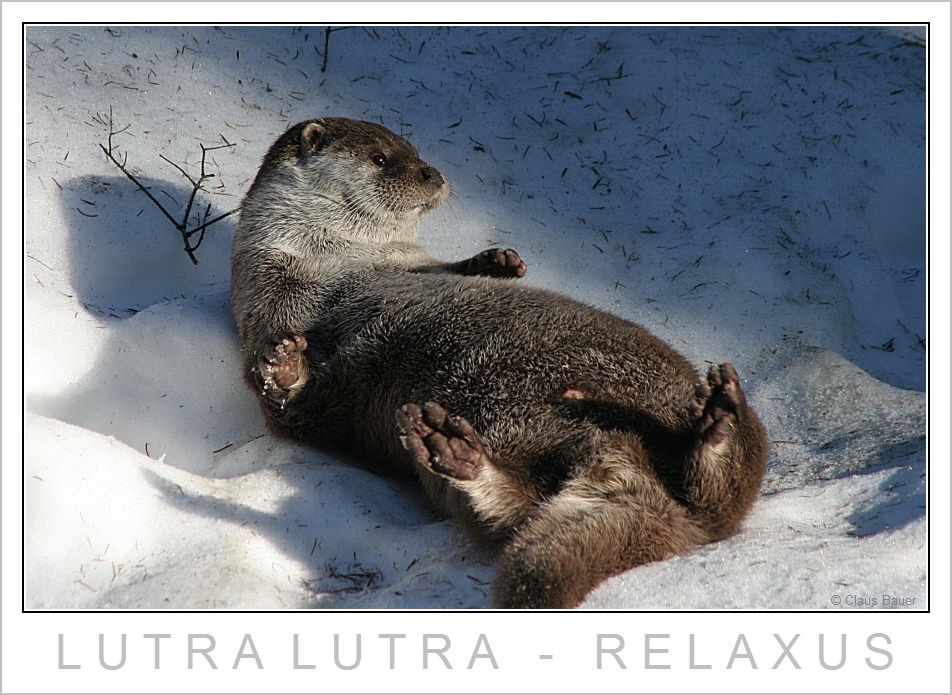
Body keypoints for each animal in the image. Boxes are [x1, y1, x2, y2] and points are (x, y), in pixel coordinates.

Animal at [234, 118, 768, 608]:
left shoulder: (415, 262)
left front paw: (497, 261)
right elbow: (292, 411)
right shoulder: (264, 304)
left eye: (415, 150)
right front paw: (283, 367)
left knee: (721, 497)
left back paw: (720, 414)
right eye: (381, 158)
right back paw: (455, 451)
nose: (431, 174)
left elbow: (448, 268)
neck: (332, 259)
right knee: (517, 512)